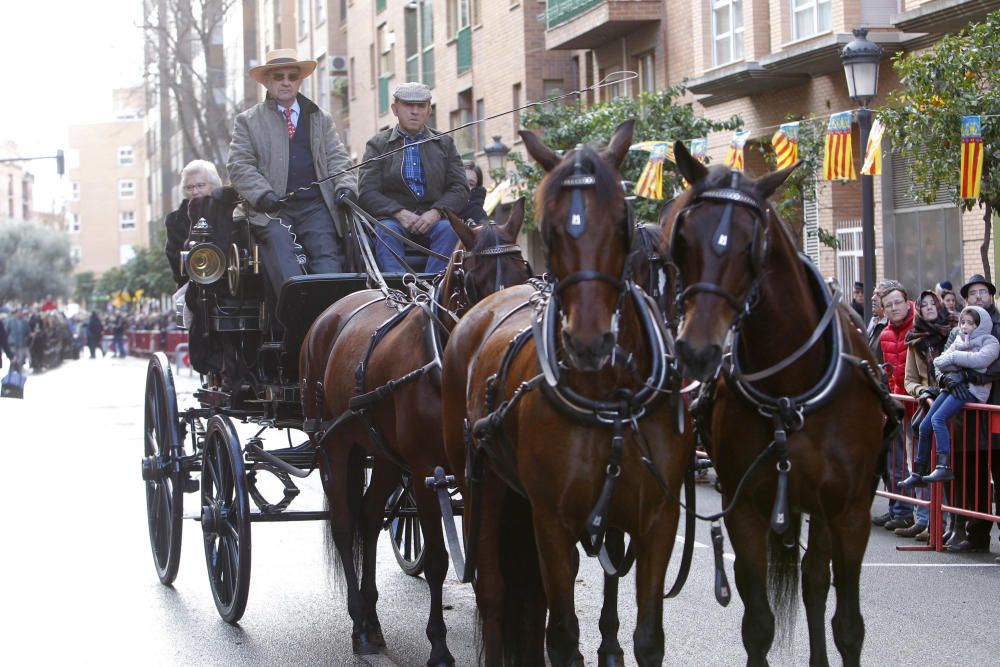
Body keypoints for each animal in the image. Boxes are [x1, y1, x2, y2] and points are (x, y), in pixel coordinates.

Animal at [296, 205, 532, 667]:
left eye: (524, 271)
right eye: (471, 280)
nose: (506, 333)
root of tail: (328, 316)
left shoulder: (475, 473)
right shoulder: (428, 471)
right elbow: (439, 559)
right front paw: (439, 645)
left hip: (383, 452)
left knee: (370, 518)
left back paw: (372, 620)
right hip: (333, 443)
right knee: (346, 525)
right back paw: (359, 624)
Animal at [442, 121, 692, 667]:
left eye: (621, 223)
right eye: (551, 229)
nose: (589, 340)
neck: (608, 397)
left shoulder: (656, 519)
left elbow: (648, 636)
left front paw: (615, 645)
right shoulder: (552, 522)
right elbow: (561, 636)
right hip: (480, 484)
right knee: (493, 592)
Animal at [664, 142, 900, 667]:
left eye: (754, 243)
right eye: (682, 238)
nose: (697, 350)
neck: (790, 390)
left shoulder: (851, 512)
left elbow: (848, 625)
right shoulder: (745, 511)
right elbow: (758, 625)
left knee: (815, 581)